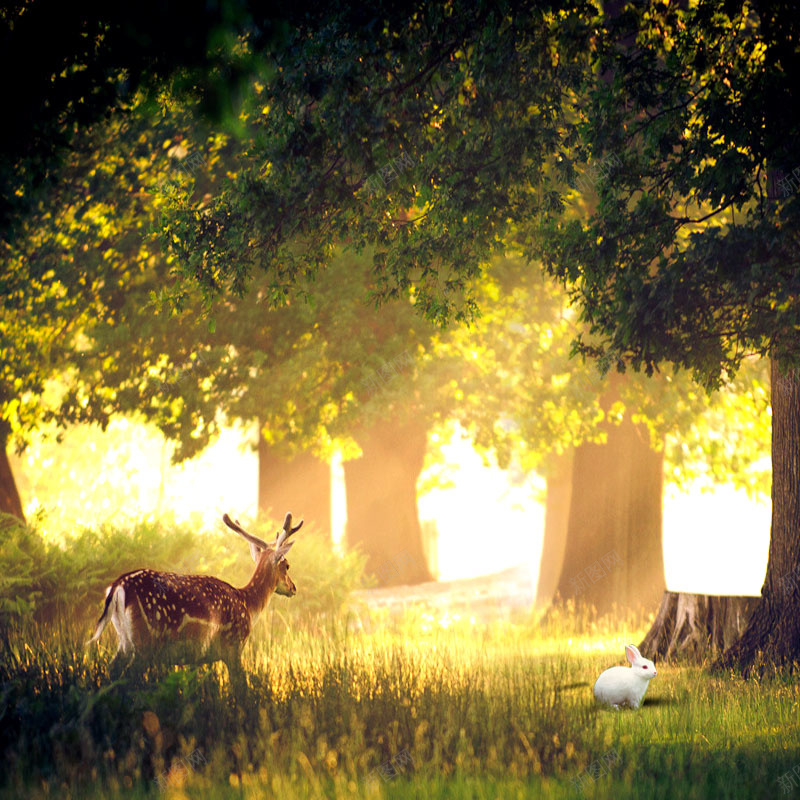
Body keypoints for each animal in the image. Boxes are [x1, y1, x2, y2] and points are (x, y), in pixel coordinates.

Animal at [86, 510, 300, 672]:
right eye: (287, 565)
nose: (293, 588)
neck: (248, 605)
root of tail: (117, 587)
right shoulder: (233, 647)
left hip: (124, 641)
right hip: (146, 639)